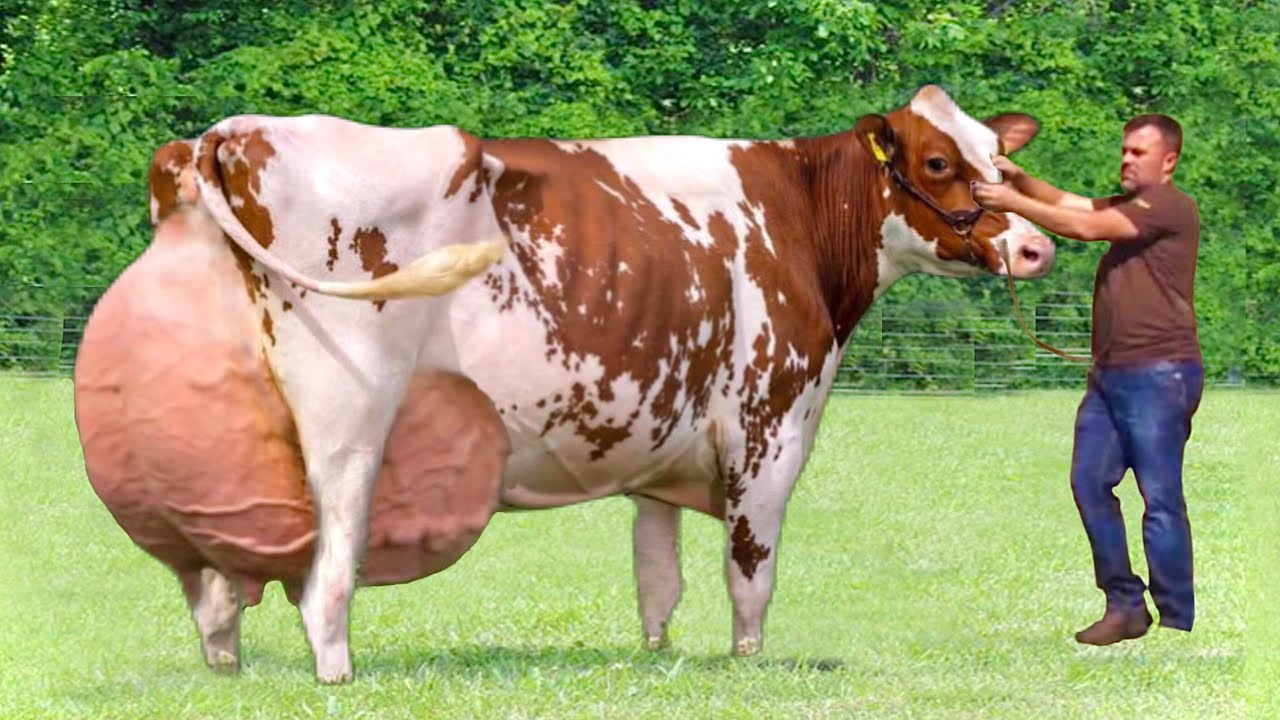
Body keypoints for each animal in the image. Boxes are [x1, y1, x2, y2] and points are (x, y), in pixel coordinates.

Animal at [74, 85, 1054, 683]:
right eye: (938, 163)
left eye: (999, 160)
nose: (1036, 246)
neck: (798, 216)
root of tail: (230, 132)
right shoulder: (772, 427)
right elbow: (751, 572)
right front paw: (746, 663)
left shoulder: (663, 438)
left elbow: (658, 576)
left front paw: (659, 658)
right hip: (347, 418)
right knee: (326, 573)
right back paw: (337, 672)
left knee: (211, 584)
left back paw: (227, 668)